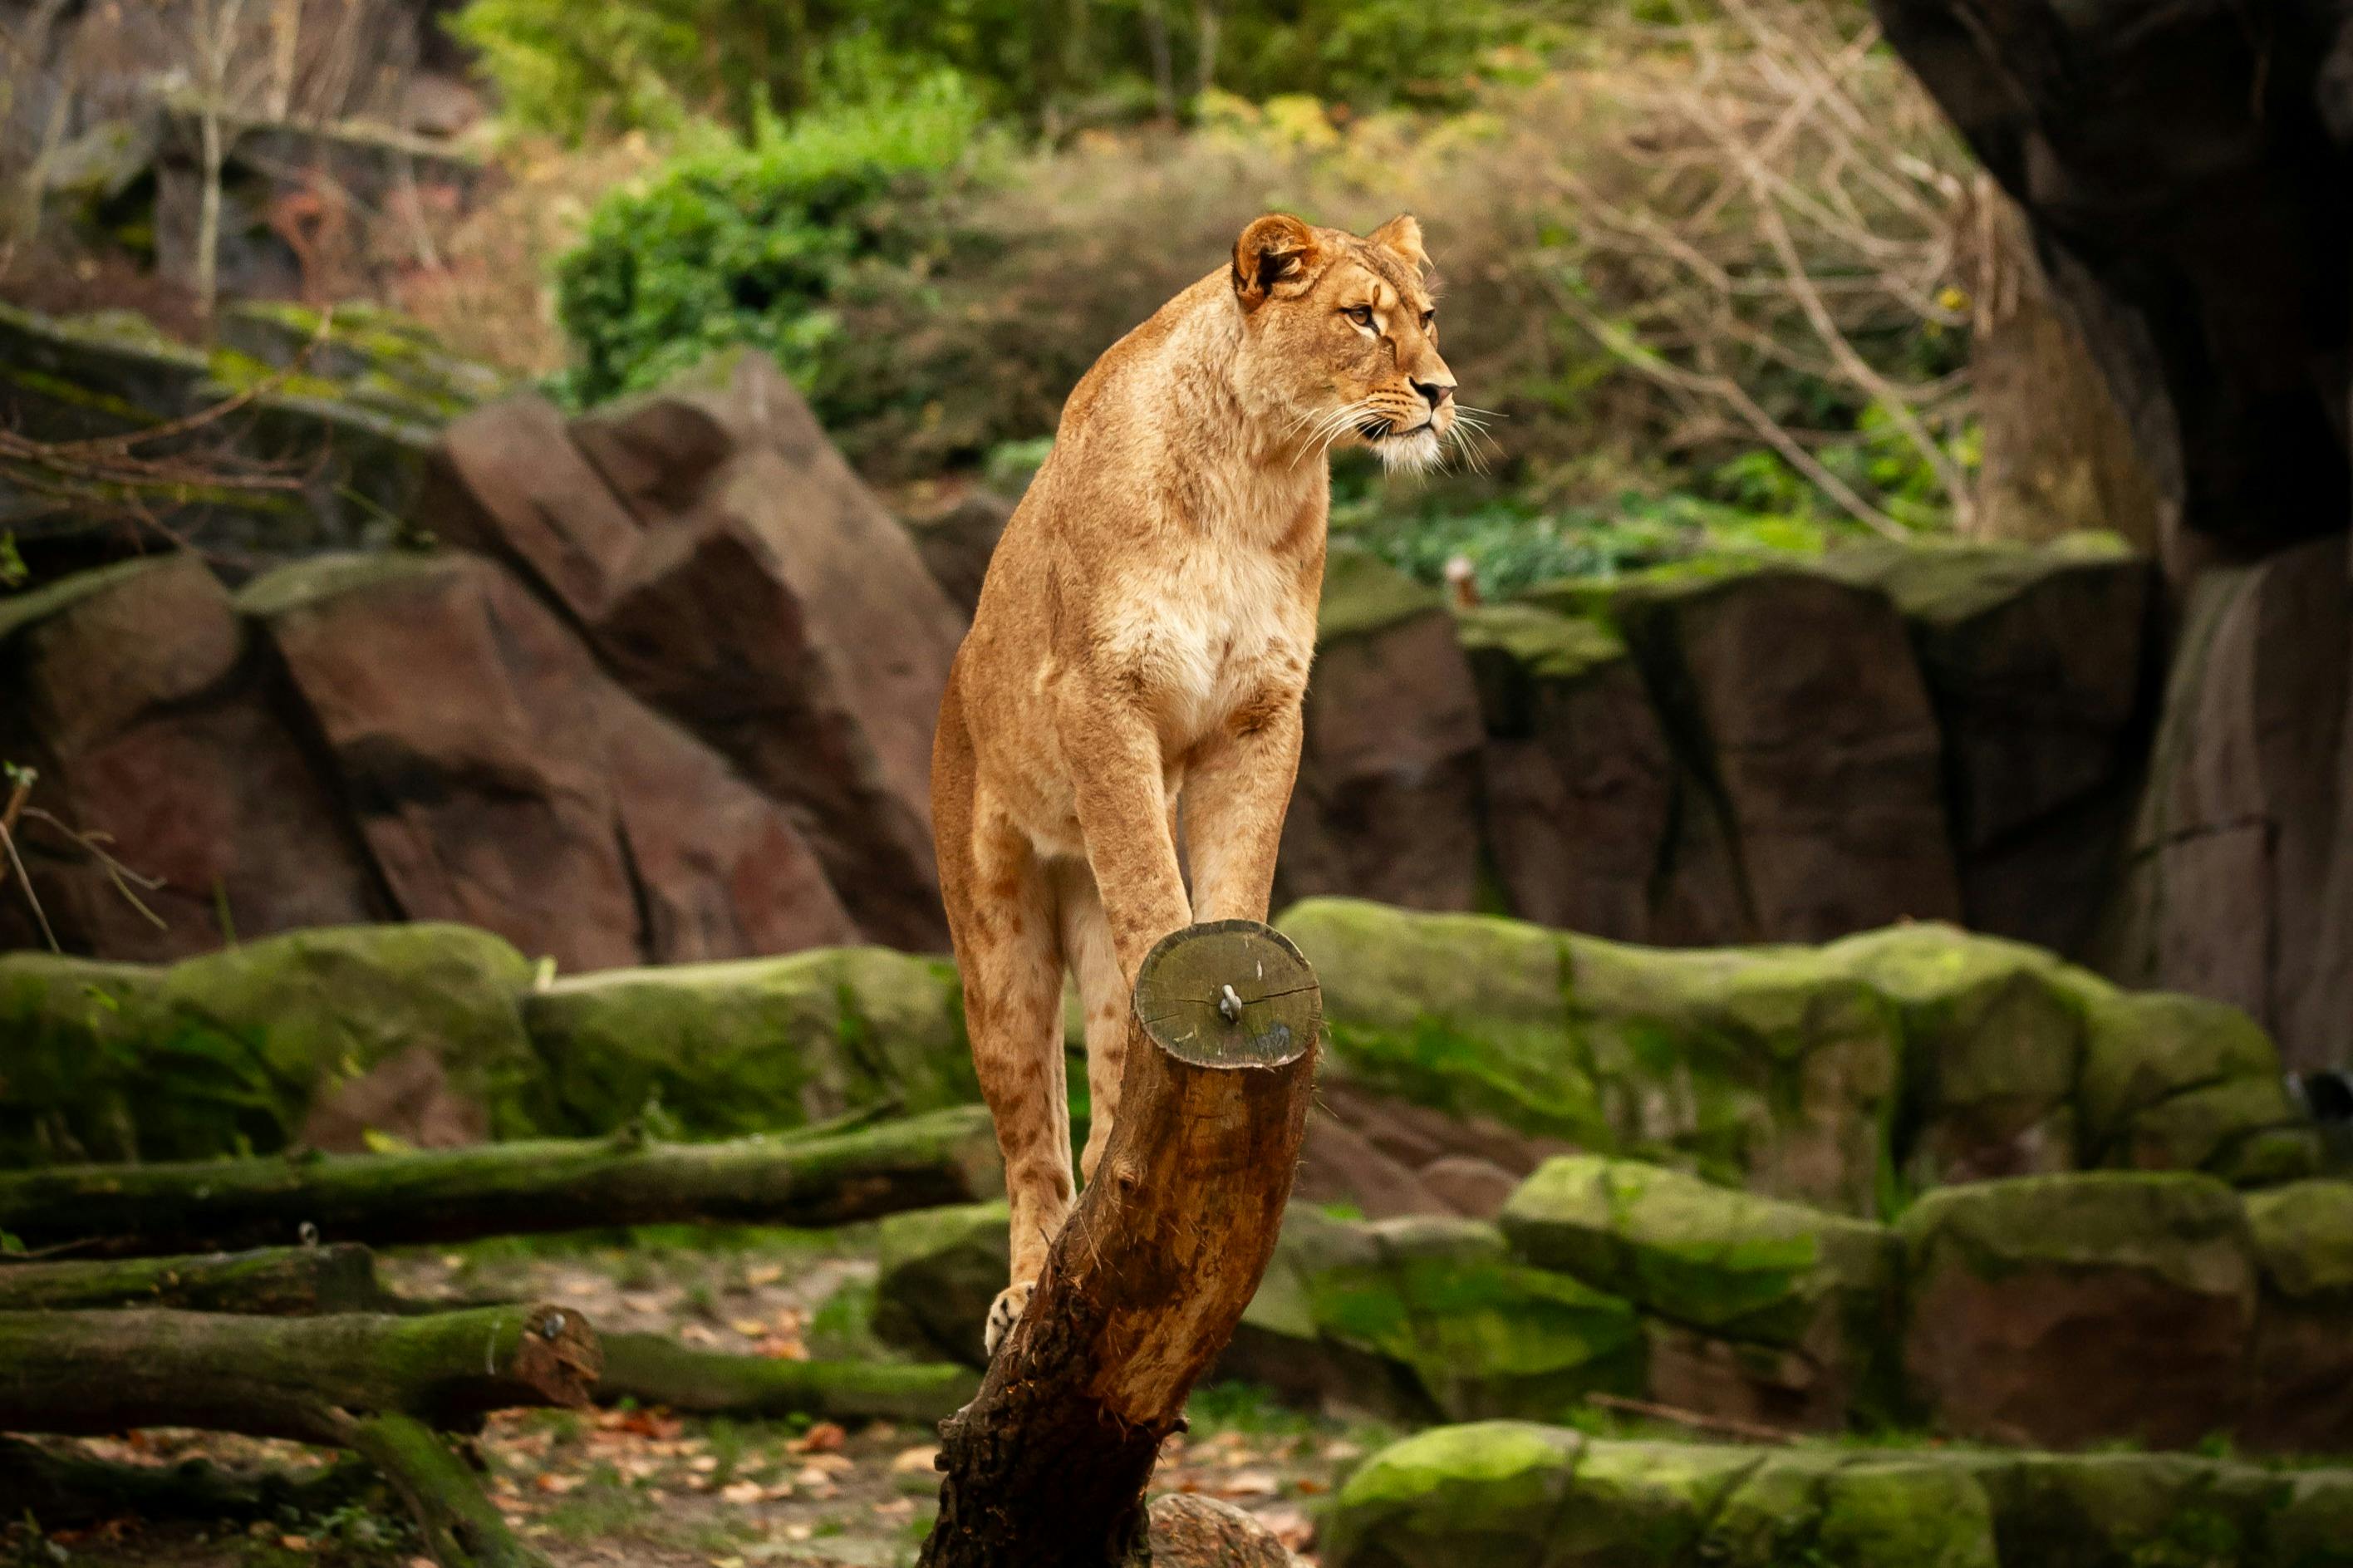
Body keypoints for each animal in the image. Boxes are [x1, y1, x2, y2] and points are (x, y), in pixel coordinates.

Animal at [931, 212, 1459, 1352]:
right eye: (1361, 317)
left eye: (1428, 317)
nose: (1441, 391)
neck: (1259, 467)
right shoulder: (1104, 700)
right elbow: (1154, 899)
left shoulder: (1262, 714)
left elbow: (1232, 882)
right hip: (994, 931)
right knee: (1028, 1141)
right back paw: (1025, 1287)